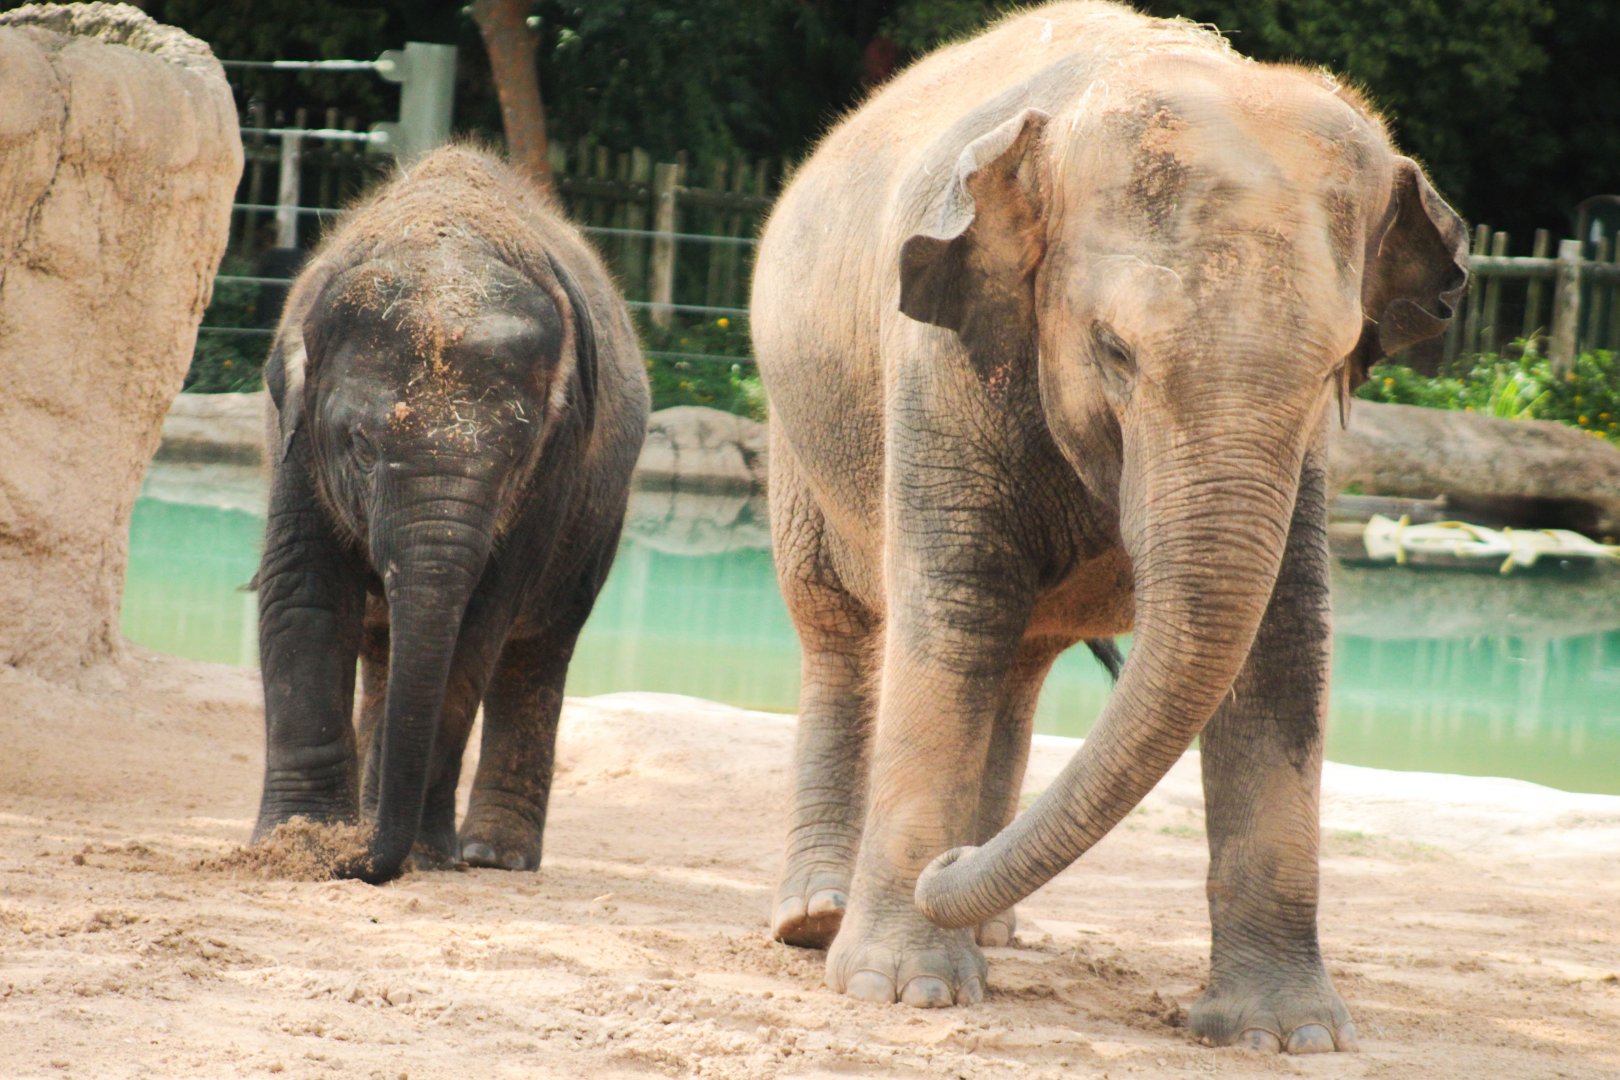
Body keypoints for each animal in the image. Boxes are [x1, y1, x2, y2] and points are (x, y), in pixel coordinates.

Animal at [252, 146, 650, 884]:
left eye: (516, 458)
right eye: (361, 446)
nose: (361, 861)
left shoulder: (552, 473)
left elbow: (477, 627)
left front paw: (416, 854)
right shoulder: (297, 441)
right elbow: (303, 597)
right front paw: (299, 846)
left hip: (600, 520)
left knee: (538, 651)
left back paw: (493, 855)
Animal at [750, 0, 1466, 1052]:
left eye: (1336, 366)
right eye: (1115, 351)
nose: (938, 873)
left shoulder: (1304, 462)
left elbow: (1285, 639)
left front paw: (1285, 1037)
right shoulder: (938, 362)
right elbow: (955, 602)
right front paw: (903, 988)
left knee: (1014, 661)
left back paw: (989, 924)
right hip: (796, 433)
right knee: (843, 626)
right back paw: (817, 920)